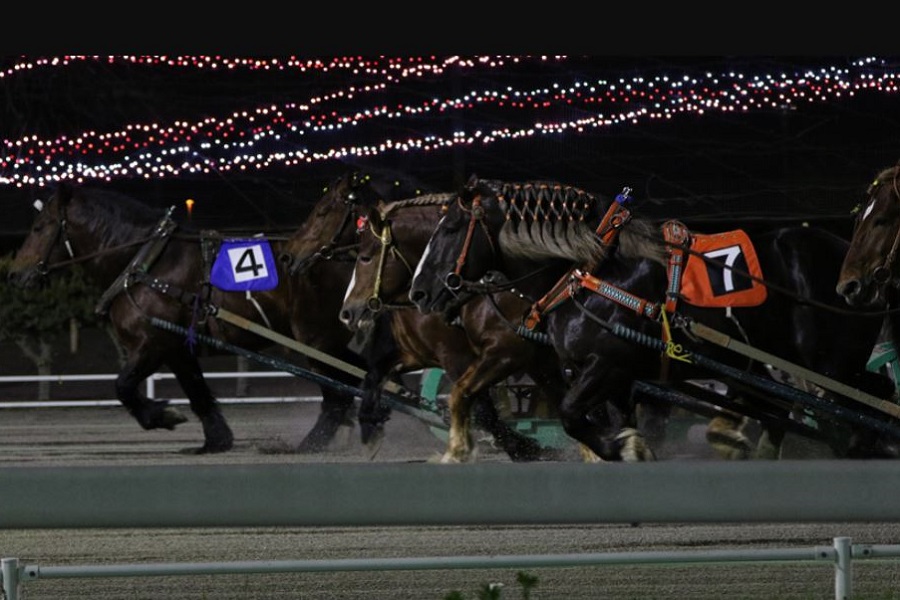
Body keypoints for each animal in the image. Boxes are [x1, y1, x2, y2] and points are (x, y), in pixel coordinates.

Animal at [338, 195, 568, 462]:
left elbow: (482, 409)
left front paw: (524, 447)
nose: (347, 312)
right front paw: (370, 427)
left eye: (365, 257)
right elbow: (374, 374)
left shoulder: (472, 355)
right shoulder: (419, 354)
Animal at [414, 177, 900, 460]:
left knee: (863, 401)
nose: (420, 291)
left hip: (831, 363)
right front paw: (631, 449)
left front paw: (622, 447)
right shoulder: (618, 381)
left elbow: (572, 416)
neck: (595, 273)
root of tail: (849, 264)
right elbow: (609, 422)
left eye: (451, 229)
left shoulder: (608, 366)